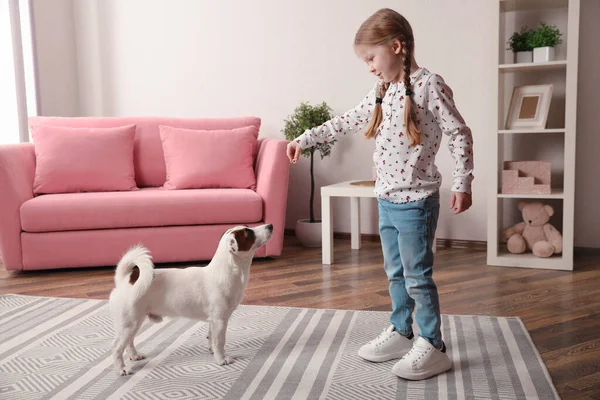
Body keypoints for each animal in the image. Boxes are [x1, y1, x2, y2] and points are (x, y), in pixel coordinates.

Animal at [109, 225, 274, 376]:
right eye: (249, 233)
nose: (270, 225)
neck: (224, 272)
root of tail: (125, 280)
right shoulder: (220, 320)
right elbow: (220, 342)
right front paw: (221, 359)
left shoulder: (213, 321)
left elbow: (211, 337)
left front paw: (212, 350)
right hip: (129, 323)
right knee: (117, 348)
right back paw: (121, 368)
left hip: (134, 322)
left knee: (129, 342)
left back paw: (134, 355)